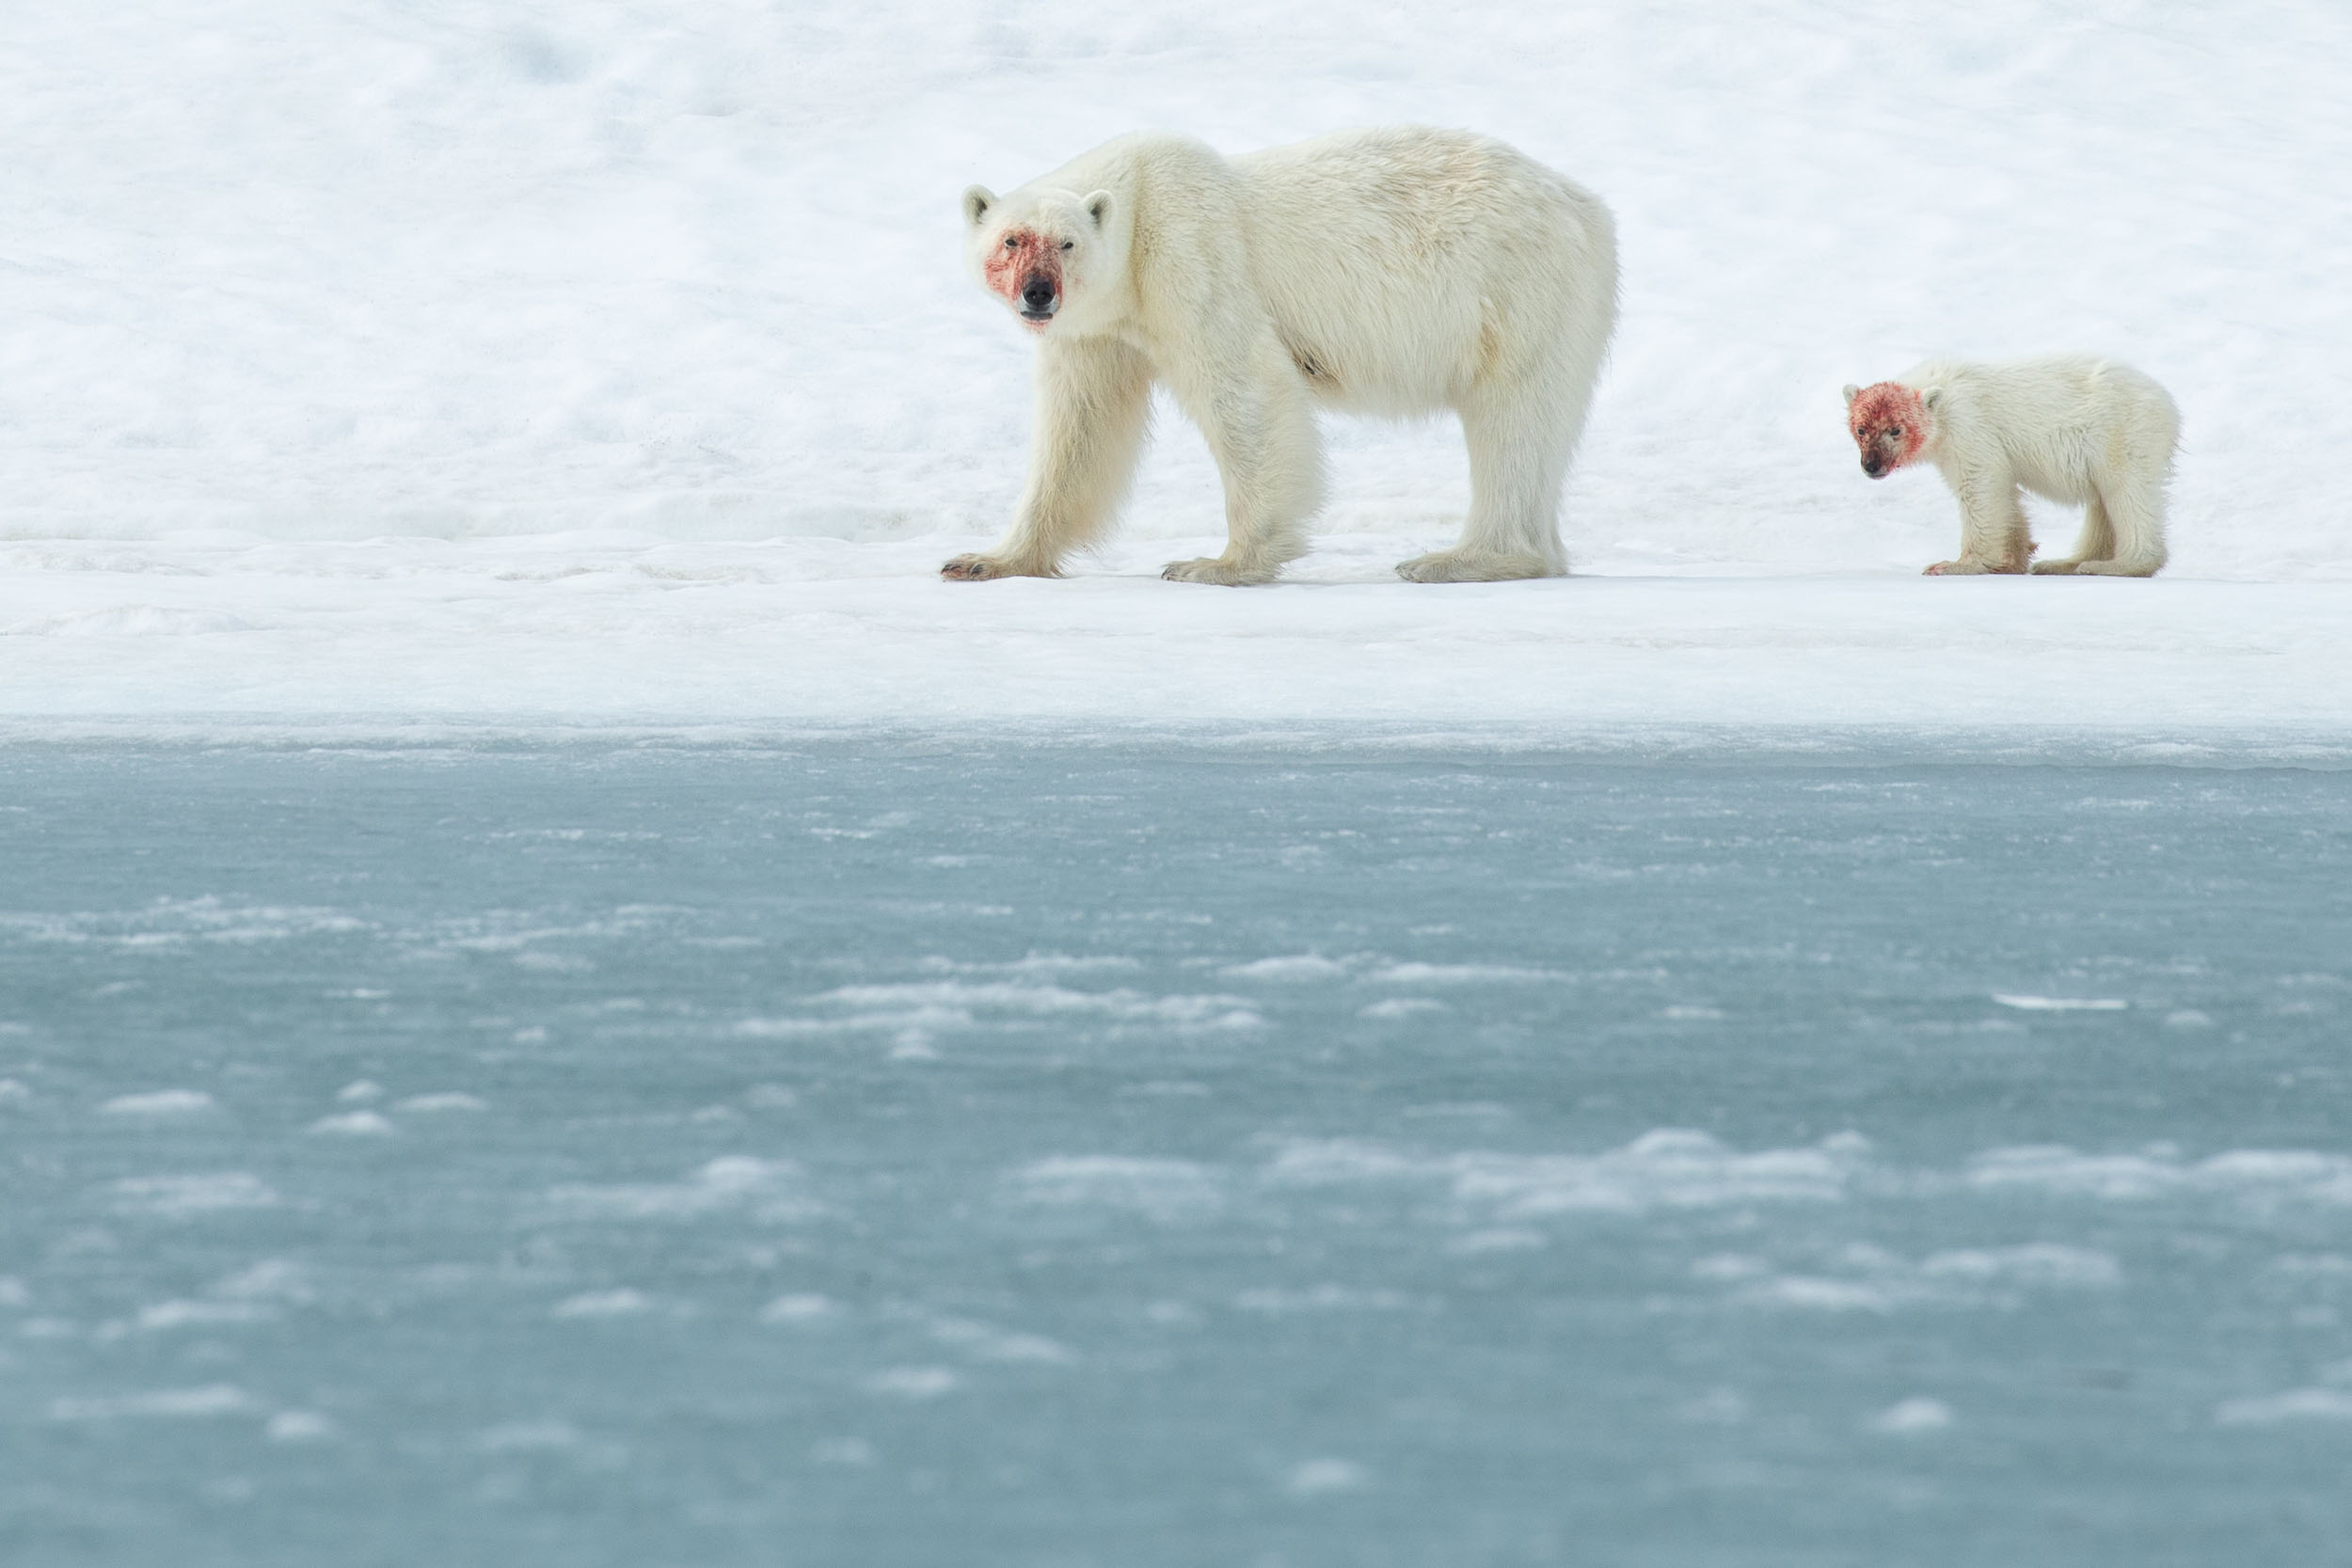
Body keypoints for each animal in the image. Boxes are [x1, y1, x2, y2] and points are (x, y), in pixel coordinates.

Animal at [941, 127, 1618, 582]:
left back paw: (1457, 558)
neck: (1139, 204)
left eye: (1067, 243)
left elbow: (1245, 388)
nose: (1038, 293)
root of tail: (1585, 205)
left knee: (1513, 418)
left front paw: (1215, 564)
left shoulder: (1192, 256)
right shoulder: (1096, 331)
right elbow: (1081, 431)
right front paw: (984, 559)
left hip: (1517, 287)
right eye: (1011, 239)